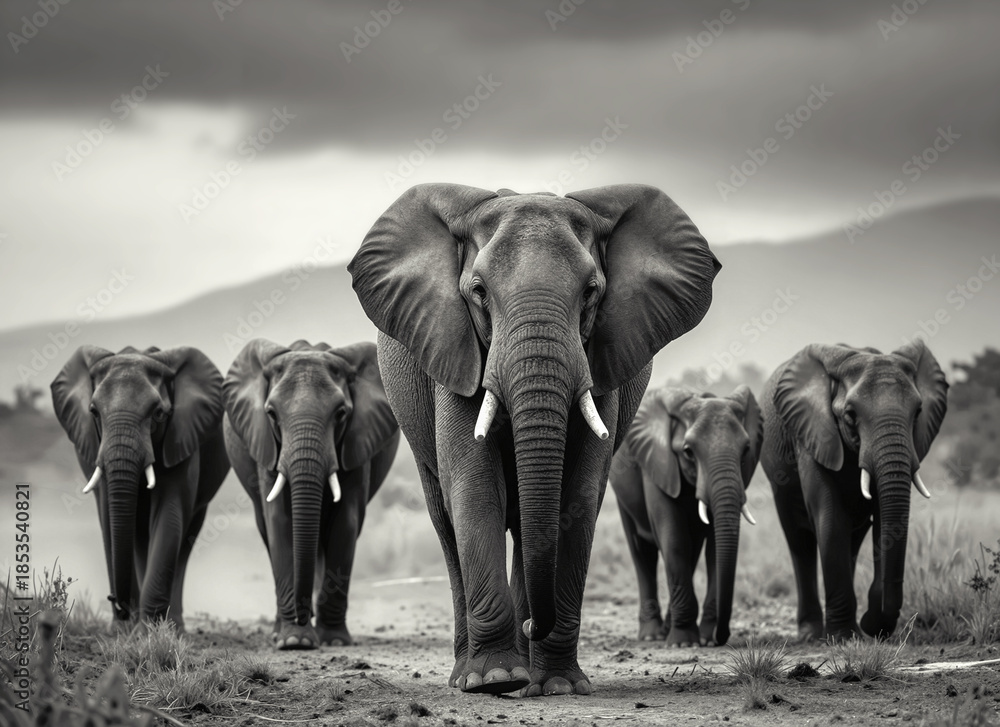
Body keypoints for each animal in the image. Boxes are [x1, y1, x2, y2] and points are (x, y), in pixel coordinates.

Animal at [51, 345, 230, 630]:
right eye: (94, 412)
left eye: (158, 413)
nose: (116, 601)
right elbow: (109, 521)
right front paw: (124, 630)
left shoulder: (181, 438)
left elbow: (169, 514)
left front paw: (150, 629)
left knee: (185, 539)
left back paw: (174, 625)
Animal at [222, 339, 400, 649]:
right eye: (271, 414)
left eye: (341, 414)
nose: (304, 616)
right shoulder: (267, 446)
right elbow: (279, 521)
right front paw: (295, 641)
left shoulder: (357, 442)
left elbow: (345, 522)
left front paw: (334, 641)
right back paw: (279, 631)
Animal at [349, 183, 720, 696]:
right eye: (479, 292)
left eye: (591, 292)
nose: (532, 627)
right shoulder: (455, 348)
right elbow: (474, 485)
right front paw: (494, 679)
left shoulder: (601, 360)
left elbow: (577, 494)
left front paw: (560, 686)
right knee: (445, 520)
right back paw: (470, 676)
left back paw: (529, 676)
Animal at [609, 385, 762, 648]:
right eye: (688, 452)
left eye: (746, 450)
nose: (721, 637)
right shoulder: (658, 464)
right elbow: (674, 540)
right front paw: (684, 643)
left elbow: (714, 549)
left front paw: (705, 640)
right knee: (642, 551)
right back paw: (652, 635)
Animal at [760, 340, 948, 641]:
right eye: (850, 415)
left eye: (918, 412)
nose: (873, 625)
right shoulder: (811, 433)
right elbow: (830, 517)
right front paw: (843, 636)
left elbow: (884, 519)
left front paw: (868, 626)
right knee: (799, 539)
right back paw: (811, 633)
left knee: (853, 538)